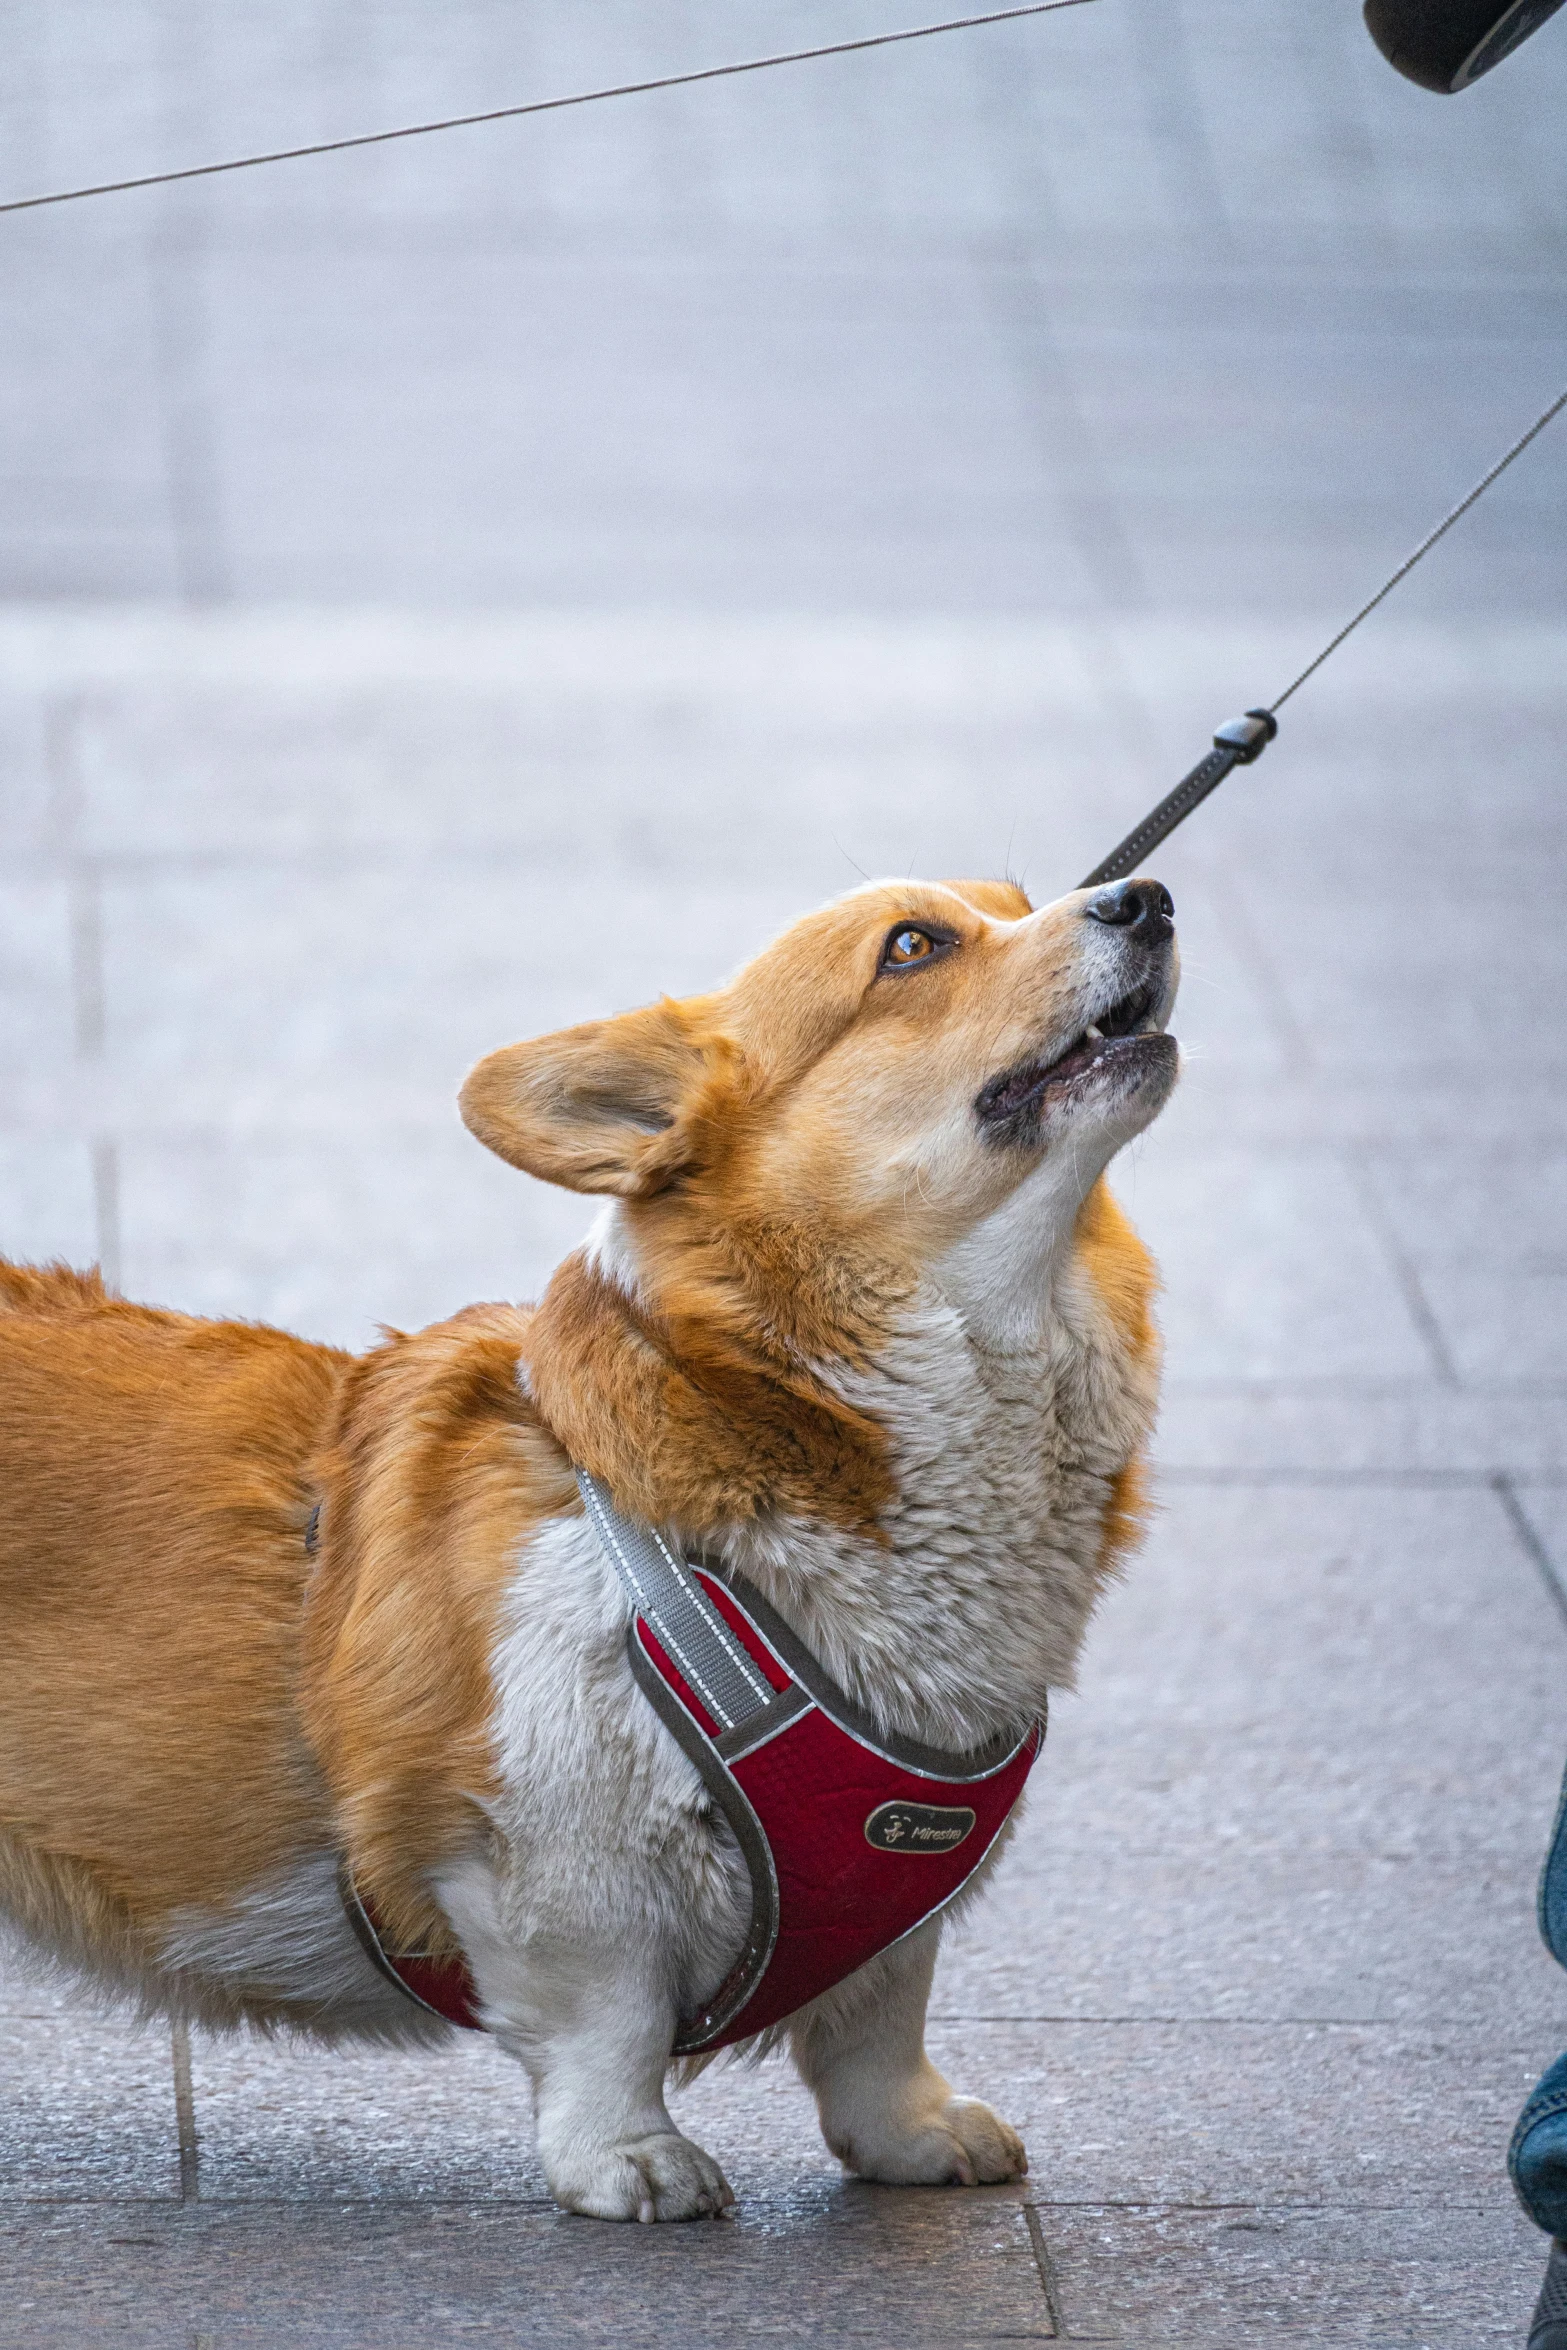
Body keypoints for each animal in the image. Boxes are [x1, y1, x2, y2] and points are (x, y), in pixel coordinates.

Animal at [0, 869, 1174, 2218]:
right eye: (912, 947)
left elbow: (880, 2016)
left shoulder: (894, 1896)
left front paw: (915, 2135)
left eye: (1021, 899)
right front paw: (632, 2158)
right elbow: (610, 2019)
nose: (1145, 895)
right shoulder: (550, 1844)